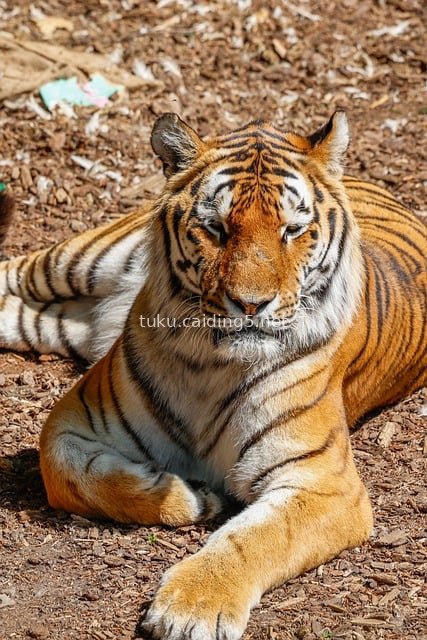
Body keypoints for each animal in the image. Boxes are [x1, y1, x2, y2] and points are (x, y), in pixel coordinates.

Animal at [0, 111, 426, 640]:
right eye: (215, 227)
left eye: (292, 230)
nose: (251, 304)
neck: (210, 365)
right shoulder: (68, 421)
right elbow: (72, 475)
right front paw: (192, 498)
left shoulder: (324, 484)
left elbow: (256, 538)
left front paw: (192, 607)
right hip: (74, 260)